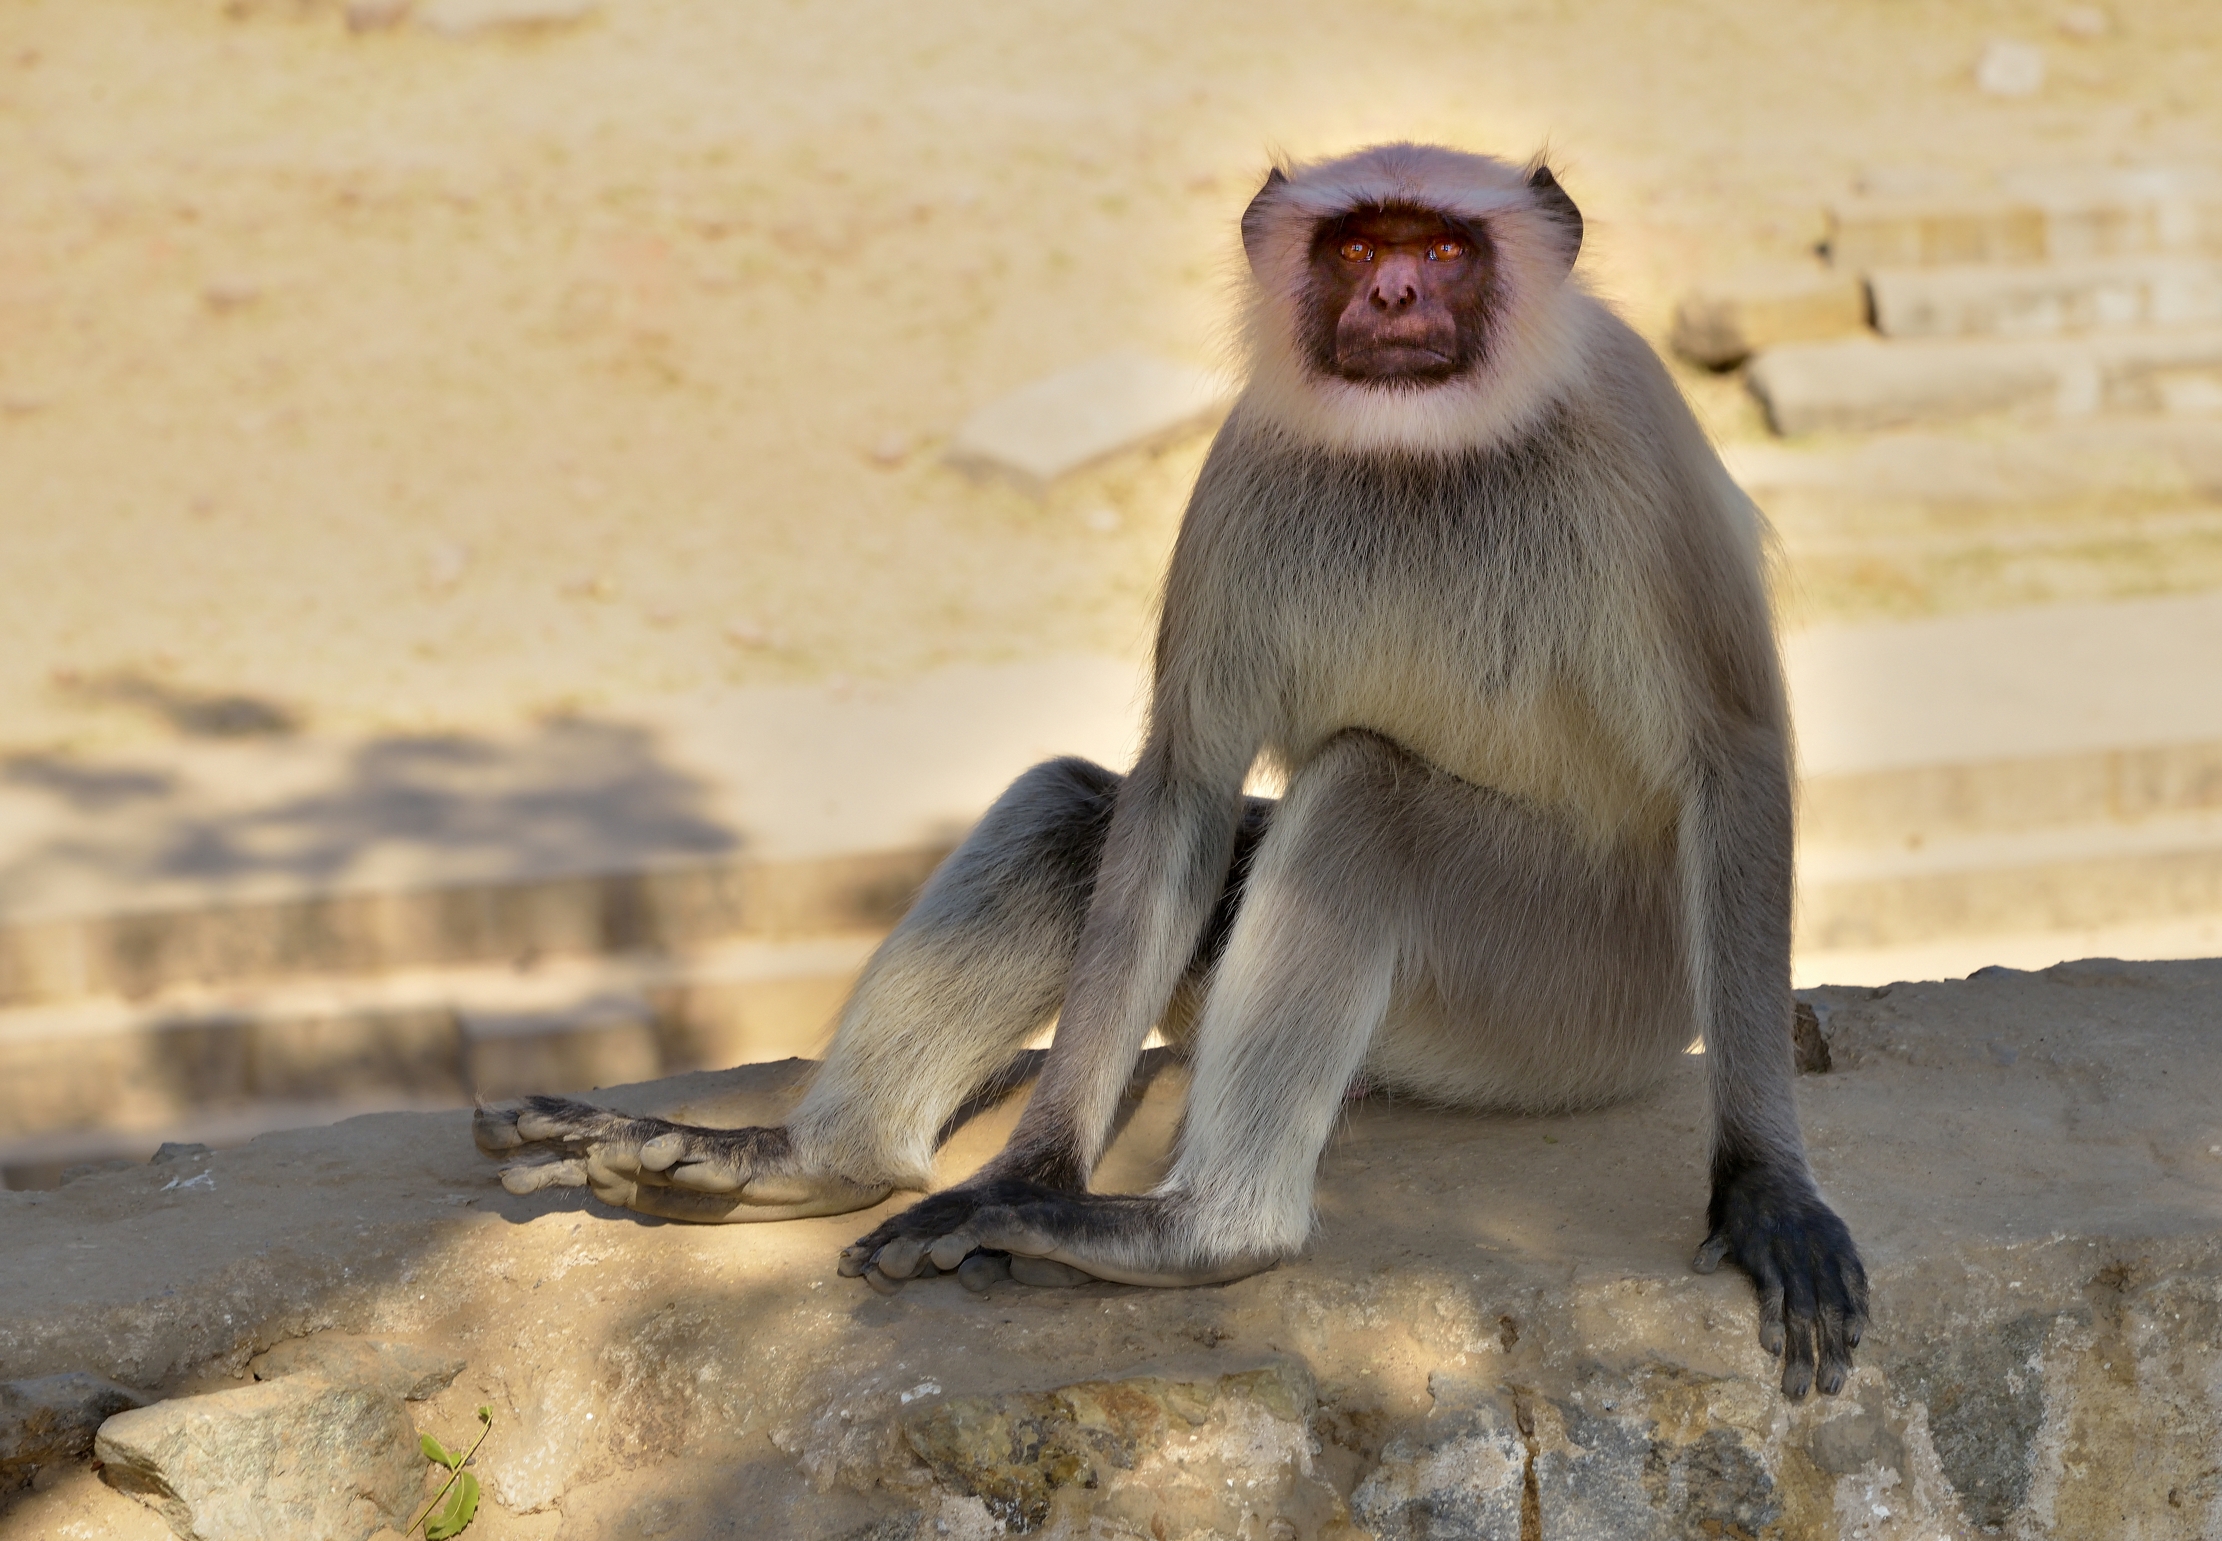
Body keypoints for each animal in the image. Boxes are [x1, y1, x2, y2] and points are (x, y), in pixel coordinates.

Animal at [475, 143, 1868, 1399]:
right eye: (1353, 251)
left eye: (1441, 249)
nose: (1392, 298)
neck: (1421, 450)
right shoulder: (1242, 464)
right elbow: (1178, 787)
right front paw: (1025, 1173)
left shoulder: (1632, 432)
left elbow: (1735, 760)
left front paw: (1764, 1187)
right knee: (1074, 805)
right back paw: (817, 1161)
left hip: (1577, 994)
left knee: (1365, 797)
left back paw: (1202, 1232)